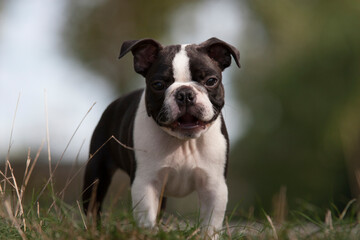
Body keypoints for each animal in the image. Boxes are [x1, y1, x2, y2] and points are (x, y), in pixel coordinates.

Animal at [83, 37, 240, 236]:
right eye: (158, 85)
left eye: (211, 81)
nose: (185, 93)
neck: (183, 142)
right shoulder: (145, 183)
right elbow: (147, 218)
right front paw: (149, 234)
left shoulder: (214, 186)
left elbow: (210, 225)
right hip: (96, 172)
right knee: (92, 205)